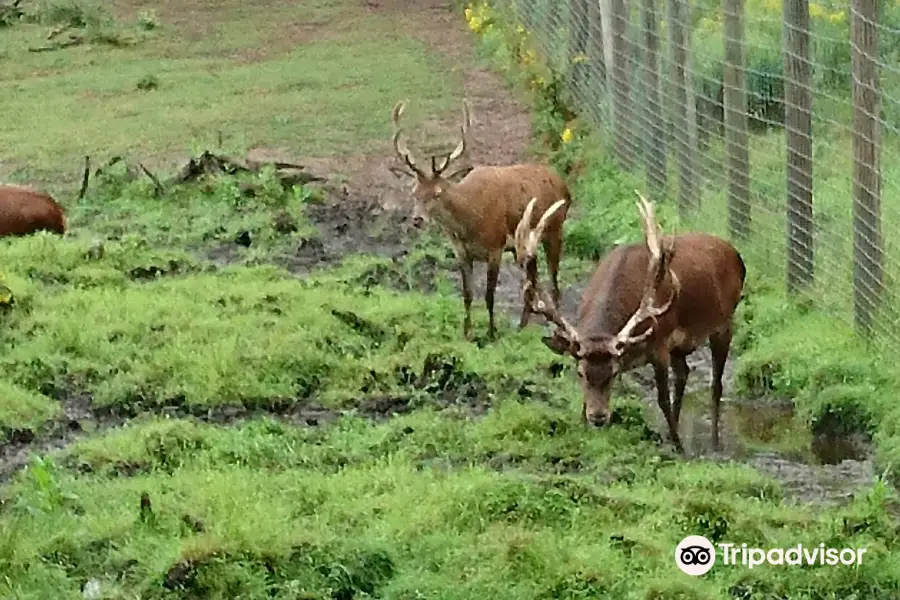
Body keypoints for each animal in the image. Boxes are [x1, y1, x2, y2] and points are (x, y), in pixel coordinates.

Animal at [390, 101, 572, 340]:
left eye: (438, 193)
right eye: (415, 193)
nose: (417, 219)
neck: (469, 224)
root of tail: (564, 186)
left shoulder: (495, 248)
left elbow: (489, 295)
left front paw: (491, 334)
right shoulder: (461, 252)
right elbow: (467, 294)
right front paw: (467, 333)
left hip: (554, 229)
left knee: (554, 280)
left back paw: (555, 326)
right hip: (525, 244)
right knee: (532, 279)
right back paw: (522, 326)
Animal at [516, 190, 748, 452]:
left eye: (614, 373)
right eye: (580, 373)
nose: (599, 417)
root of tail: (735, 254)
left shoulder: (659, 344)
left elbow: (662, 399)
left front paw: (679, 447)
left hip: (724, 322)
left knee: (716, 385)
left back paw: (714, 443)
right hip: (682, 345)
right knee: (684, 374)